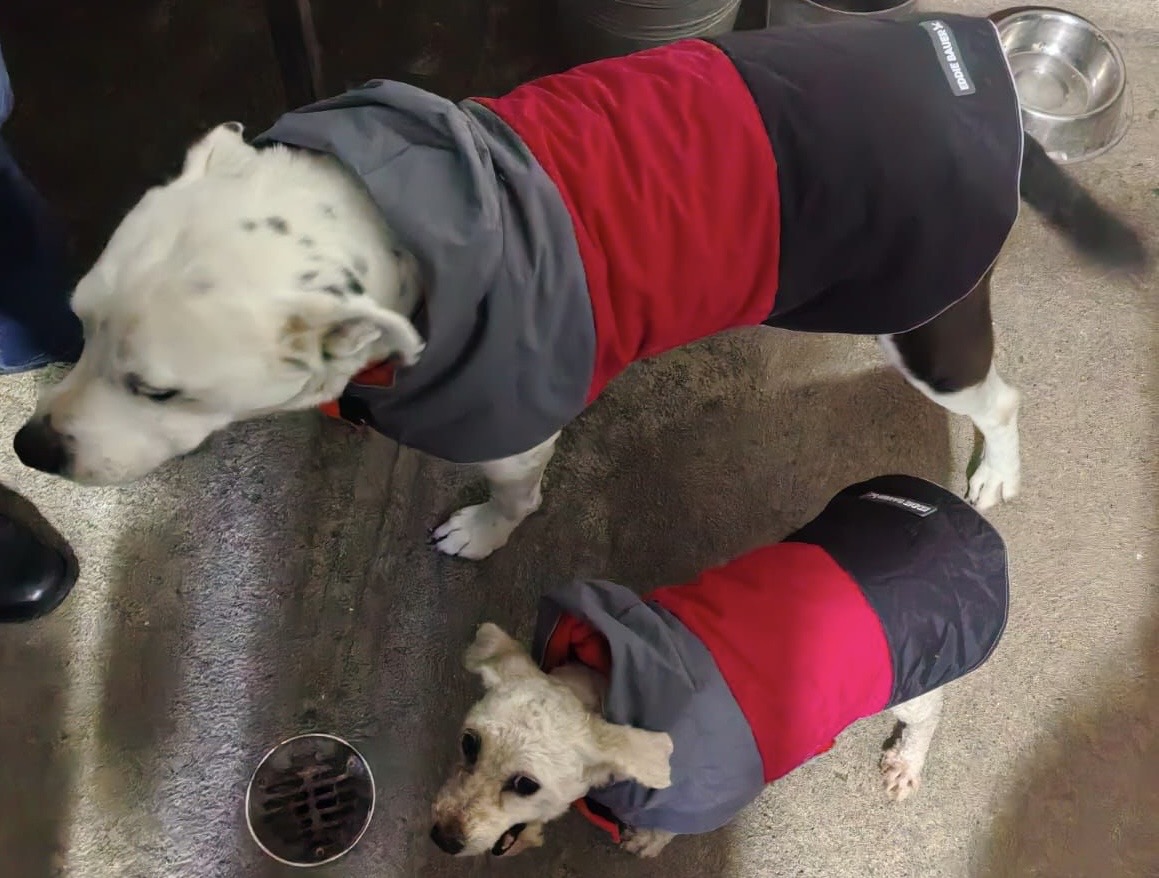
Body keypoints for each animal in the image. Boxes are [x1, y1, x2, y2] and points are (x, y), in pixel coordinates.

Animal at [13, 16, 1147, 560]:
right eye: (76, 326)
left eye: (160, 389)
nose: (29, 448)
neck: (394, 224)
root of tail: (971, 64)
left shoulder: (515, 427)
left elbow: (514, 491)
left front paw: (486, 531)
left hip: (923, 318)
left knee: (999, 397)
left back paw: (996, 468)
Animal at [430, 475, 1009, 858]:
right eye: (468, 744)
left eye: (526, 784)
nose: (441, 837)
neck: (609, 684)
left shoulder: (700, 795)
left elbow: (667, 827)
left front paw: (648, 839)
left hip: (912, 677)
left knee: (929, 715)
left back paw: (907, 763)